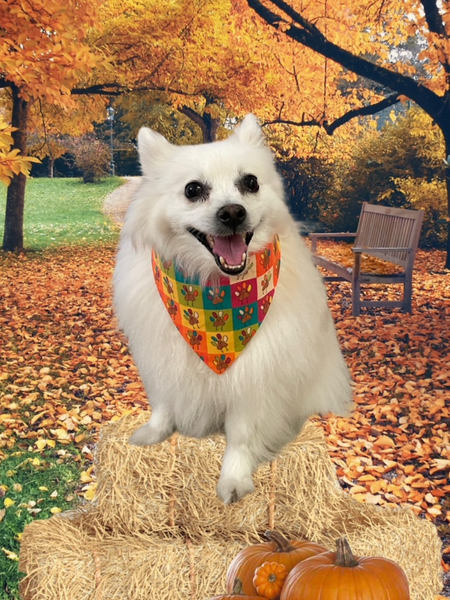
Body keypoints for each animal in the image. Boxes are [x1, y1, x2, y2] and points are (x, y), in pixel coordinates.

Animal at [112, 112, 352, 502]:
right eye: (192, 190)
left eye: (250, 182)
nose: (232, 213)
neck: (213, 298)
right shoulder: (163, 356)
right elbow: (164, 402)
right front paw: (155, 431)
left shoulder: (255, 376)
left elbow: (241, 435)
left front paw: (234, 478)